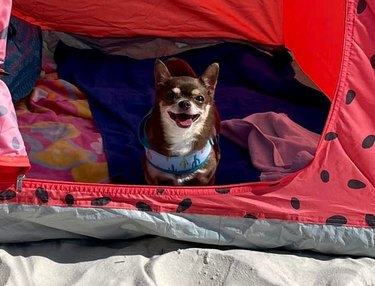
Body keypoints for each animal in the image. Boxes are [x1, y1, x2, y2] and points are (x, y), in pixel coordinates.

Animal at [140, 59, 222, 187]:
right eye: (170, 96)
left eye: (200, 98)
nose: (185, 103)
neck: (182, 135)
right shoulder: (152, 178)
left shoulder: (206, 179)